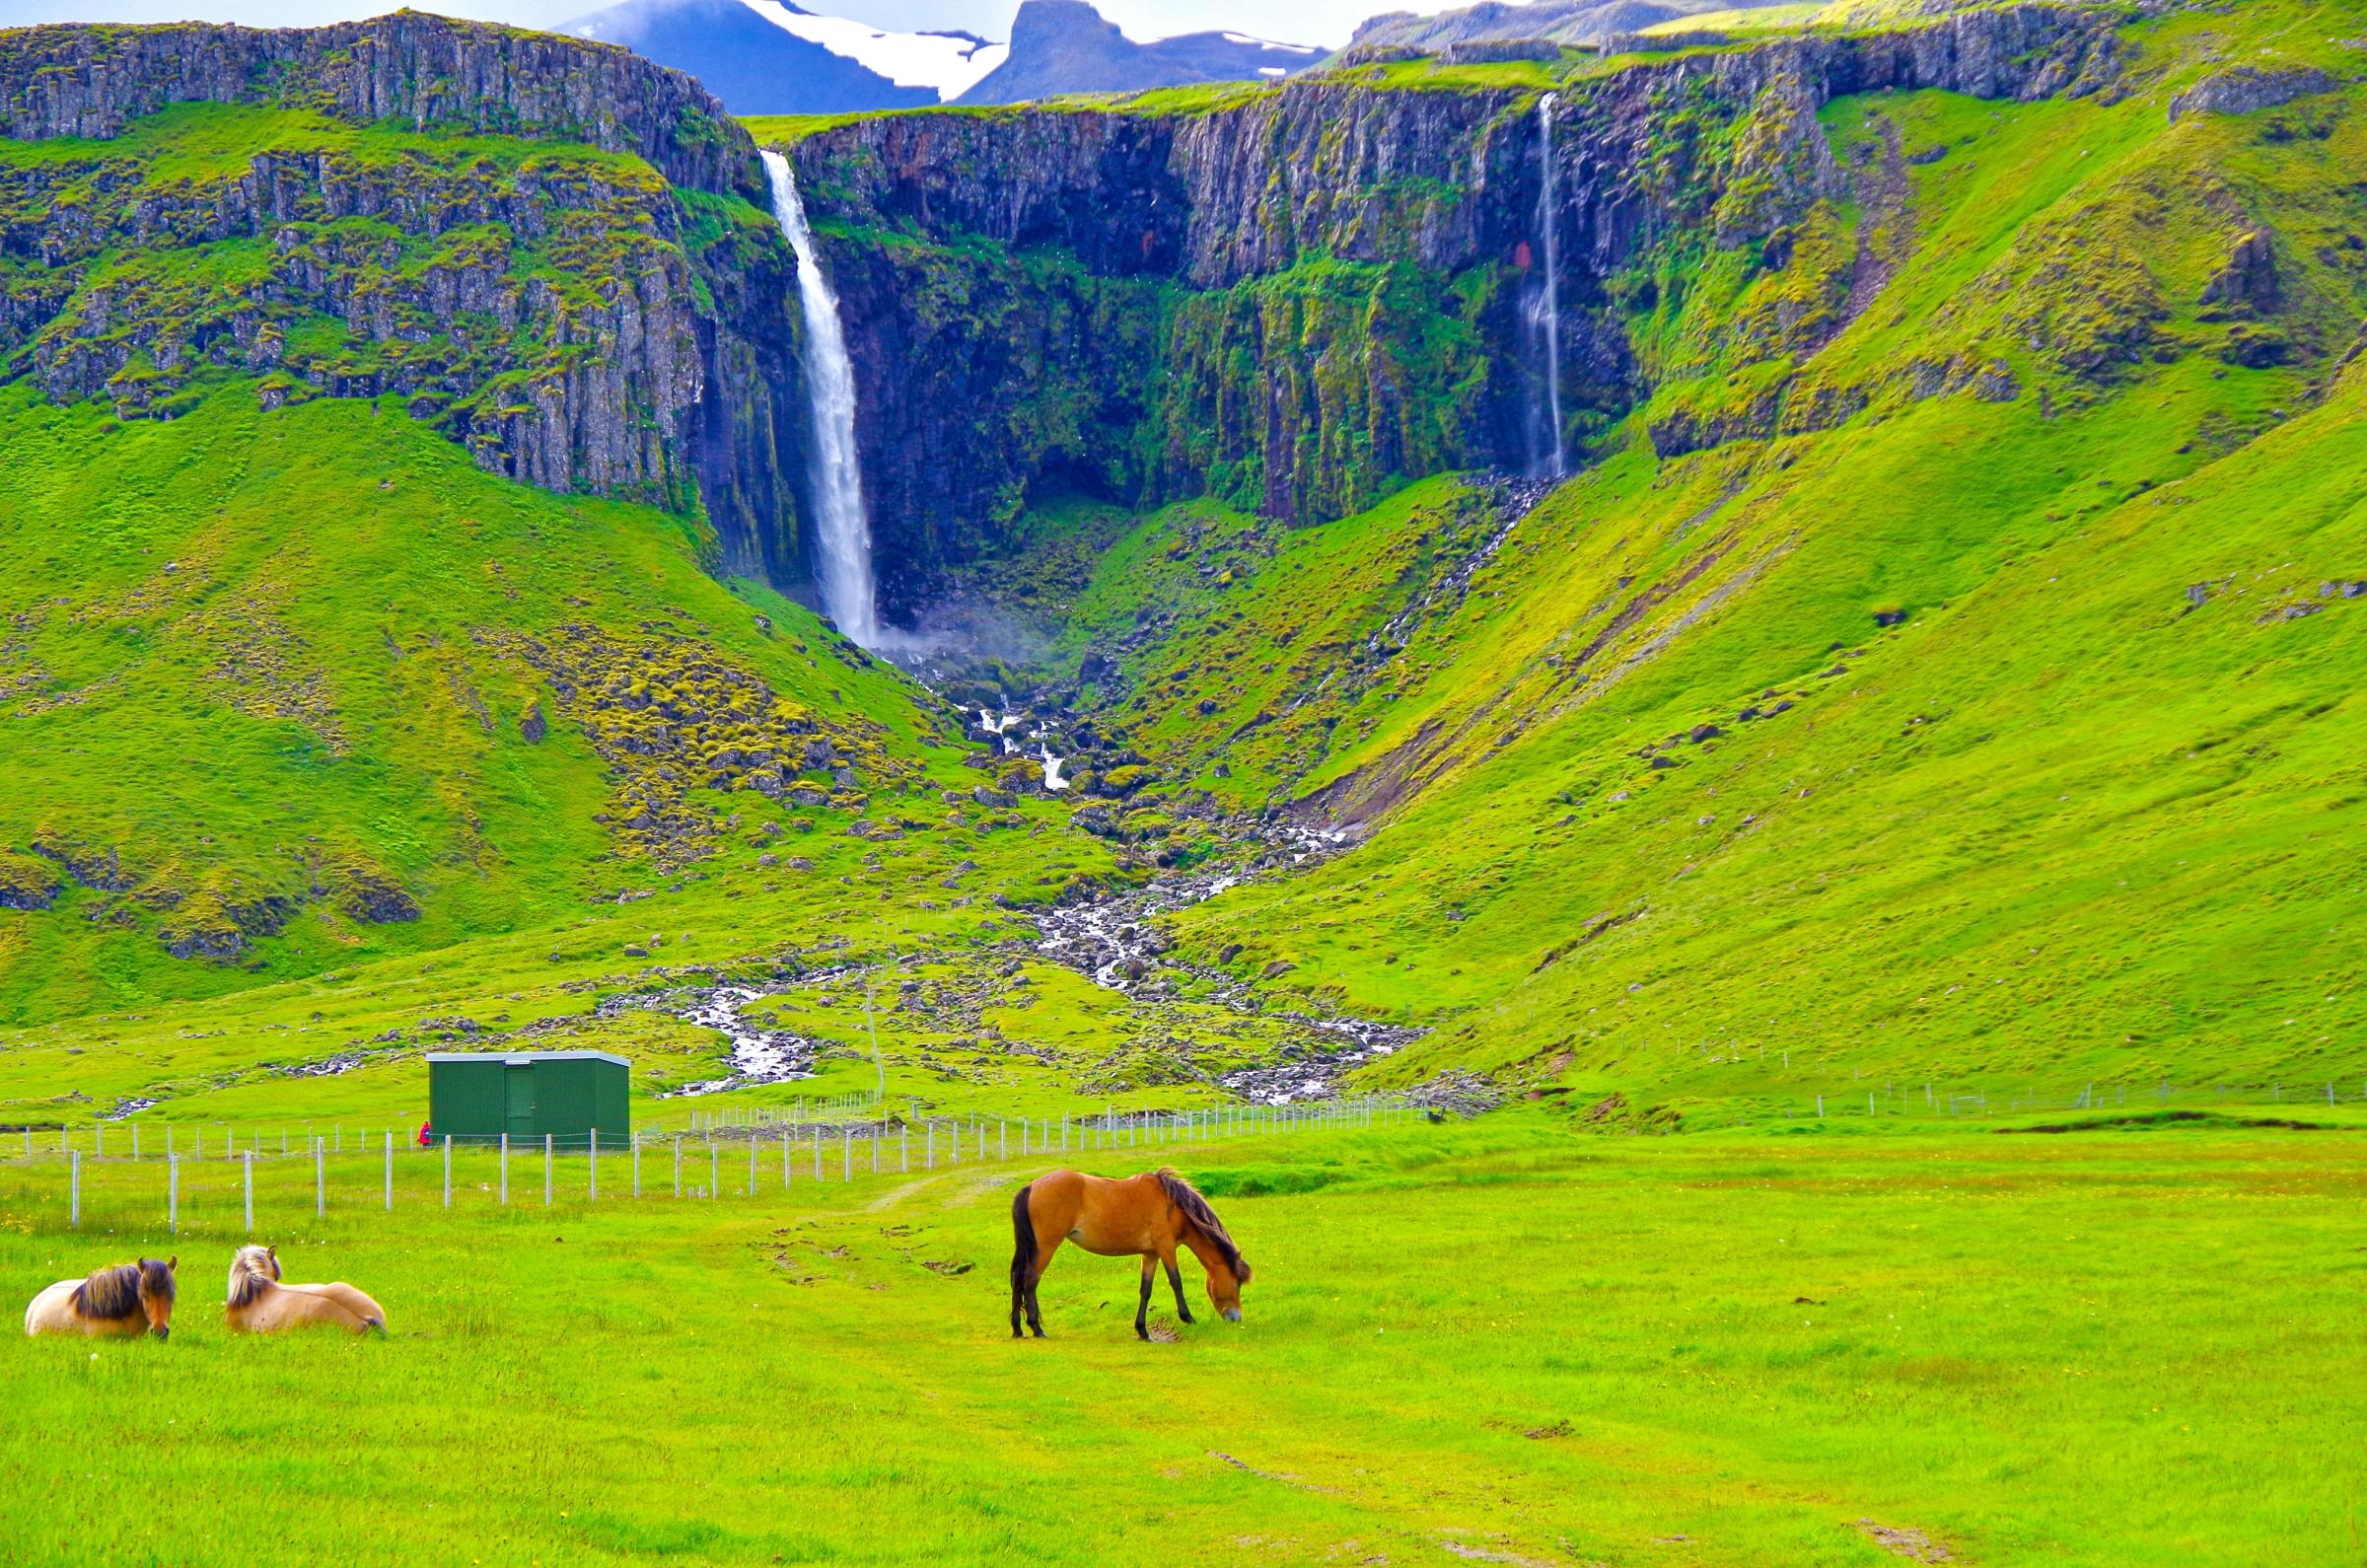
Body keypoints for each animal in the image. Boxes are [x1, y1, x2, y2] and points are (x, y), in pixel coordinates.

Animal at [1009, 1167, 1251, 1341]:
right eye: (1237, 1284)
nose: (1236, 1318)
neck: (1173, 1206)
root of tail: (1031, 1186)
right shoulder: (1166, 1248)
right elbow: (1176, 1282)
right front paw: (1187, 1318)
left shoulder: (1151, 1254)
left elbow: (1145, 1290)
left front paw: (1142, 1330)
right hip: (1046, 1246)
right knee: (1029, 1280)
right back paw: (1036, 1328)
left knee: (1018, 1280)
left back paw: (1018, 1329)